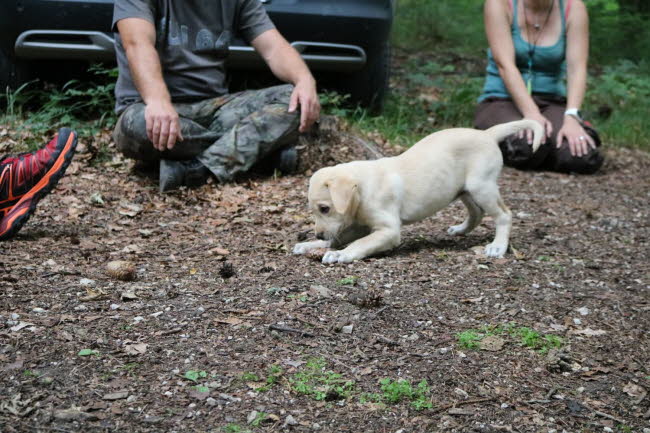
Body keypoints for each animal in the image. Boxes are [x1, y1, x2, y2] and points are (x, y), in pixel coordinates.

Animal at [292, 120, 540, 264]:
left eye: (325, 208)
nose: (318, 235)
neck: (363, 187)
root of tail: (487, 134)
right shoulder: (360, 225)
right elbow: (341, 237)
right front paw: (313, 245)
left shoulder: (388, 231)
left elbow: (359, 243)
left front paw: (340, 253)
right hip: (464, 190)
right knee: (477, 213)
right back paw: (460, 230)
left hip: (482, 187)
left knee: (504, 215)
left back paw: (498, 246)